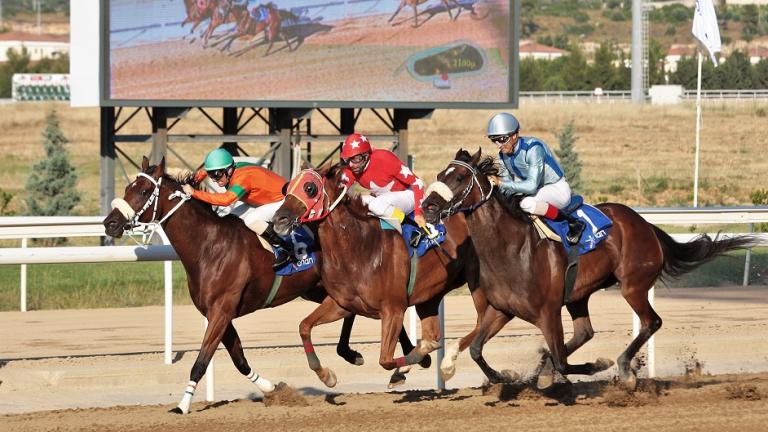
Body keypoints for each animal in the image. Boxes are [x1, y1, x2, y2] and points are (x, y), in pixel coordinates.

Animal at [420, 148, 756, 392]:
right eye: (439, 174)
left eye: (460, 177)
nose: (428, 207)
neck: (510, 250)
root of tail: (644, 224)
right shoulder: (502, 310)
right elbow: (477, 350)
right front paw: (506, 376)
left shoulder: (547, 312)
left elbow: (562, 361)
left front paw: (596, 366)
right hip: (578, 295)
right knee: (585, 332)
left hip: (633, 285)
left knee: (651, 322)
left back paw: (624, 370)